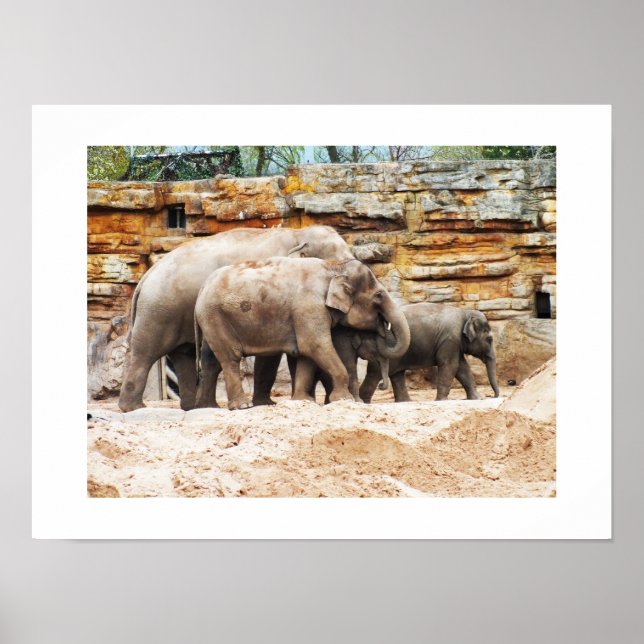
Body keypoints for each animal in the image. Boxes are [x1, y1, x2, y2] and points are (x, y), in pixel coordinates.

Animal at [118, 225, 354, 412]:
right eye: (338, 261)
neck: (297, 233)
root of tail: (146, 277)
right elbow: (276, 353)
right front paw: (269, 403)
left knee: (184, 356)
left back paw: (193, 407)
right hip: (158, 312)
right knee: (145, 352)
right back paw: (134, 408)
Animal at [194, 256, 411, 410]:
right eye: (378, 295)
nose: (382, 327)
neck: (332, 266)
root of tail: (202, 288)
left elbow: (307, 354)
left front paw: (303, 401)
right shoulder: (309, 306)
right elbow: (315, 345)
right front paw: (344, 400)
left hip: (211, 319)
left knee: (211, 361)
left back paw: (208, 407)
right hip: (215, 316)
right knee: (230, 357)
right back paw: (242, 406)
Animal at [357, 303, 500, 403]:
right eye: (489, 339)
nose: (493, 396)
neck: (465, 313)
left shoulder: (454, 344)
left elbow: (462, 368)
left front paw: (478, 398)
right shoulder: (450, 340)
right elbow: (450, 365)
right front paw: (441, 401)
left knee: (397, 374)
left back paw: (406, 402)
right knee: (375, 374)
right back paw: (364, 402)